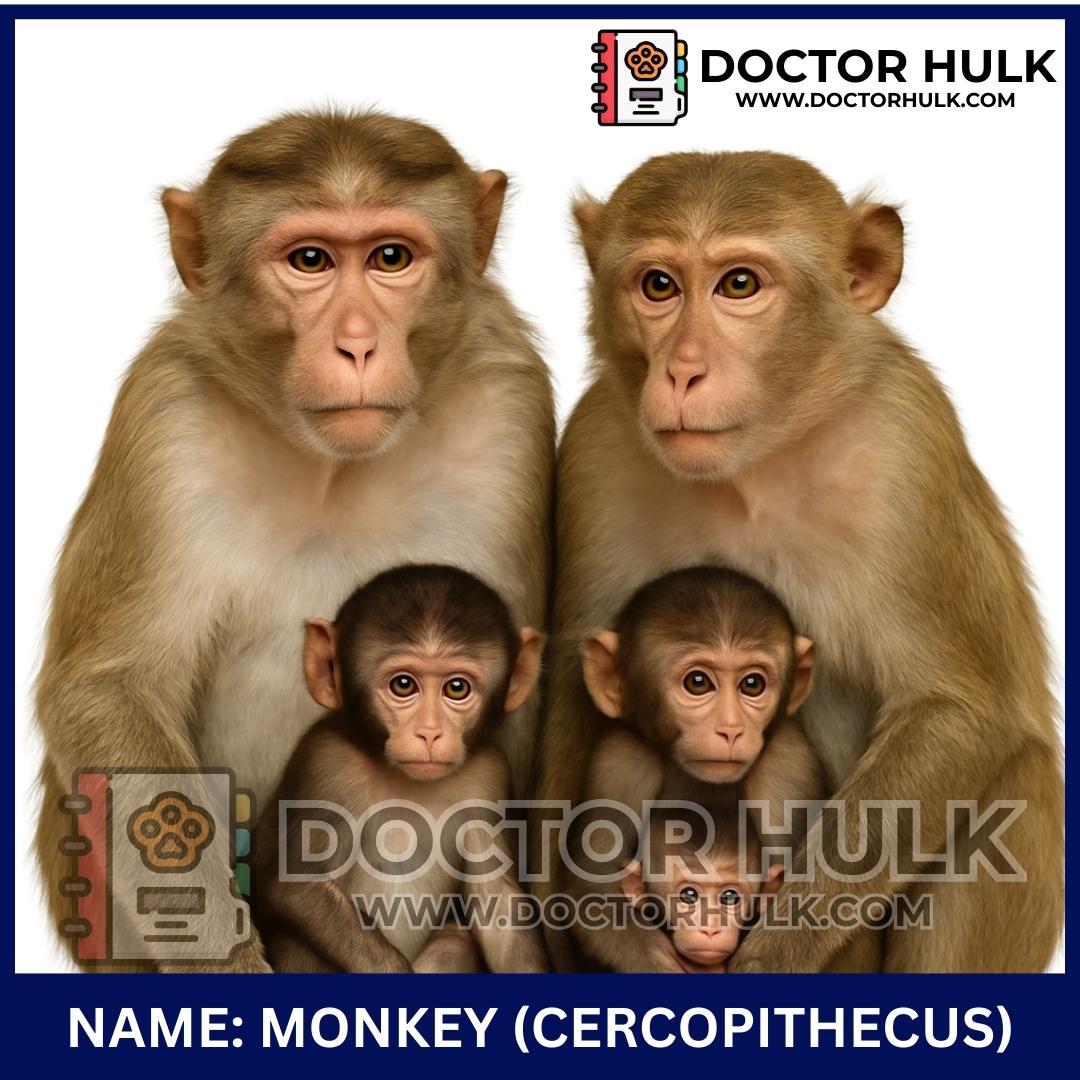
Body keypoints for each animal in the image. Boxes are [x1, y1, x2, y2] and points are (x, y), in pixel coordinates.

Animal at [252, 564, 549, 974]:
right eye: (403, 685)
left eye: (457, 688)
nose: (429, 732)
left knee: (456, 939)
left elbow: (499, 907)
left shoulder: (490, 775)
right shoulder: (324, 761)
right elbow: (297, 884)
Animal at [561, 566, 827, 973]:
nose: (731, 729)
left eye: (752, 684)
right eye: (698, 682)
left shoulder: (788, 762)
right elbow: (593, 890)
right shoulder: (621, 759)